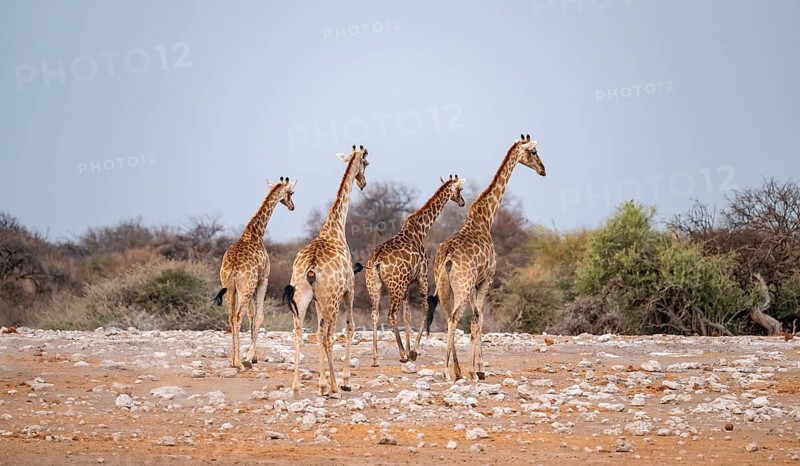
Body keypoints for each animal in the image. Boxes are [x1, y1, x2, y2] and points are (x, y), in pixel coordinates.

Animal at [214, 176, 296, 370]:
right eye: (292, 192)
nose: (292, 206)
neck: (256, 232)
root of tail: (234, 269)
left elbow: (251, 315)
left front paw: (253, 356)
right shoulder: (263, 279)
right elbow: (259, 316)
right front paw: (250, 356)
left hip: (230, 289)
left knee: (231, 317)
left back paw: (233, 360)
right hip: (246, 287)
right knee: (237, 316)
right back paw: (238, 362)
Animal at [283, 145, 369, 395]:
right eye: (366, 163)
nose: (363, 182)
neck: (335, 226)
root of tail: (311, 268)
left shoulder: (317, 300)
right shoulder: (349, 289)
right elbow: (349, 328)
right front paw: (344, 380)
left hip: (303, 297)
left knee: (300, 332)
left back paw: (296, 386)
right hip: (331, 299)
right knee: (327, 335)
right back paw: (330, 386)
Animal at [365, 175, 466, 367]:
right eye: (460, 189)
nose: (462, 202)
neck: (421, 230)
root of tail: (377, 261)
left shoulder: (407, 285)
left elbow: (407, 315)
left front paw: (409, 347)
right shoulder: (422, 277)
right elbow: (425, 308)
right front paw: (413, 351)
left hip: (374, 286)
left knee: (375, 314)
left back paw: (375, 358)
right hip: (395, 287)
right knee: (391, 315)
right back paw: (402, 354)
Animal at [433, 134, 545, 381]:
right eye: (533, 152)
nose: (543, 170)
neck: (486, 218)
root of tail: (447, 258)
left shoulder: (476, 283)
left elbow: (477, 318)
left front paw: (473, 368)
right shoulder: (487, 279)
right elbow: (479, 318)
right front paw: (478, 369)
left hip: (445, 286)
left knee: (446, 318)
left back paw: (455, 370)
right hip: (462, 285)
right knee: (454, 318)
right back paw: (447, 371)